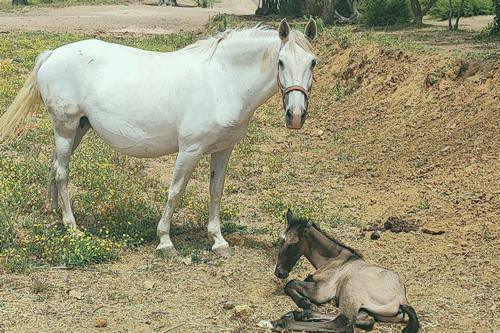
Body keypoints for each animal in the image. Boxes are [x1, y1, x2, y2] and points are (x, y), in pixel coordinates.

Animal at [0, 18, 318, 256]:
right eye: (280, 62)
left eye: (313, 62)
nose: (296, 115)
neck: (222, 81)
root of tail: (52, 54)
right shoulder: (190, 149)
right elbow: (175, 191)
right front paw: (165, 241)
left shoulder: (223, 149)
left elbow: (216, 191)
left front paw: (218, 240)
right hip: (65, 128)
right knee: (63, 173)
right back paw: (72, 226)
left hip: (77, 128)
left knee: (54, 166)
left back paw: (50, 212)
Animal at [274, 210, 418, 332]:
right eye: (281, 240)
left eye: (293, 244)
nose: (279, 272)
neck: (335, 259)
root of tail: (402, 300)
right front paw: (306, 305)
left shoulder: (321, 292)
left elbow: (291, 283)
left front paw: (306, 303)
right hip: (369, 310)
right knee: (366, 319)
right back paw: (299, 314)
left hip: (351, 289)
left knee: (342, 323)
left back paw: (284, 321)